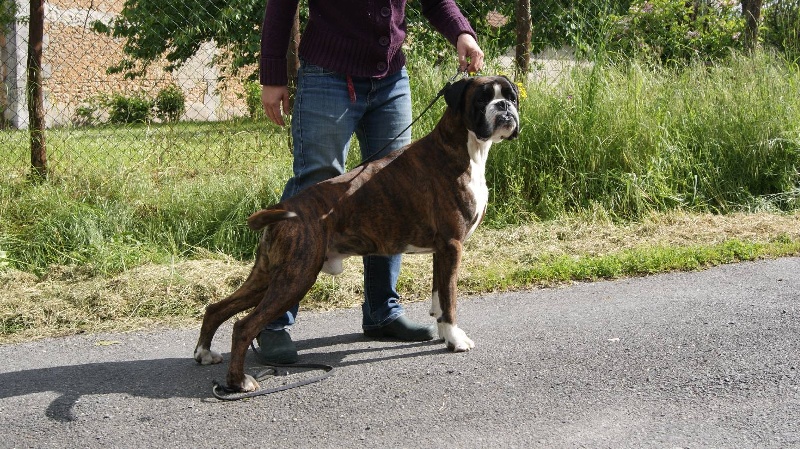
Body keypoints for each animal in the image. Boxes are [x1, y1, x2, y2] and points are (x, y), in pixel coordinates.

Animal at [192, 75, 520, 390]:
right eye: (482, 99)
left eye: (511, 96)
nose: (504, 107)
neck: (462, 147)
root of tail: (283, 208)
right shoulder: (452, 246)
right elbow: (450, 299)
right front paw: (456, 339)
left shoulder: (442, 252)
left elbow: (439, 296)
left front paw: (443, 332)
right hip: (295, 277)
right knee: (244, 326)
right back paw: (239, 382)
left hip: (268, 275)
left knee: (217, 308)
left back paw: (204, 353)